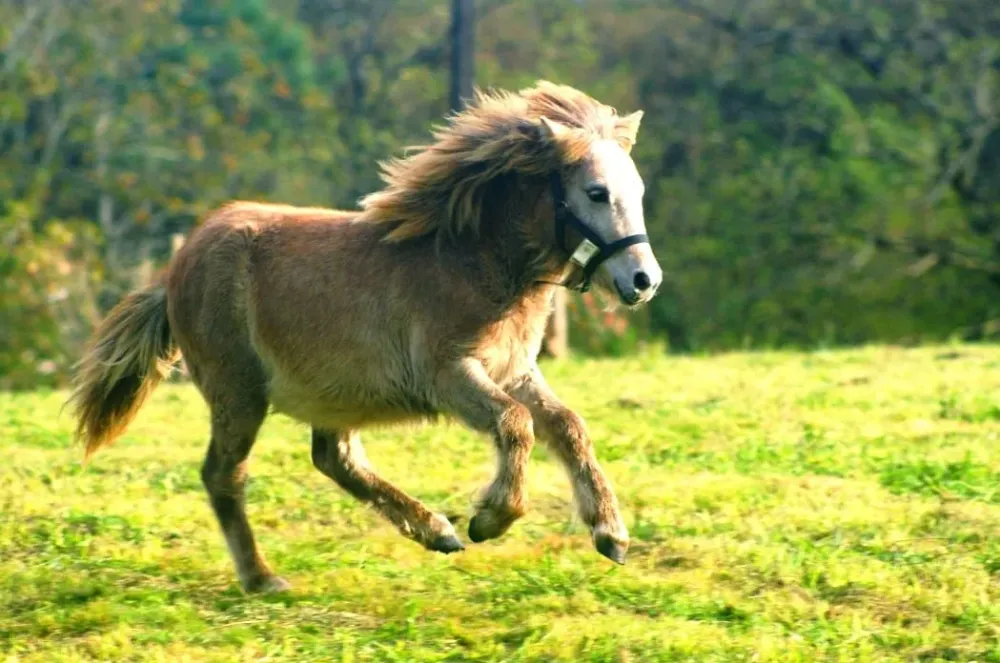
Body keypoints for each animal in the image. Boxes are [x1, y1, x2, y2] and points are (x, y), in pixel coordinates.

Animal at [67, 80, 663, 593]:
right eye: (595, 192)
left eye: (636, 191)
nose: (644, 280)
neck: (469, 261)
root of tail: (172, 272)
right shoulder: (449, 375)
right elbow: (516, 426)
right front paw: (491, 518)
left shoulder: (513, 371)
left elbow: (567, 426)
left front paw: (611, 533)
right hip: (239, 395)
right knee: (224, 475)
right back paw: (263, 578)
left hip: (330, 397)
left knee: (335, 460)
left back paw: (435, 531)